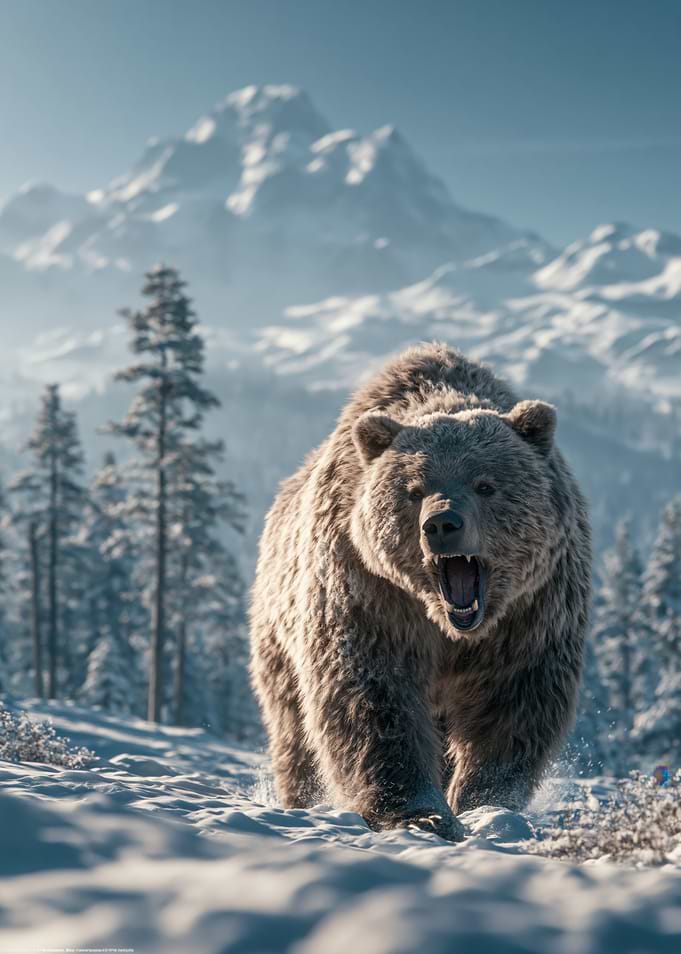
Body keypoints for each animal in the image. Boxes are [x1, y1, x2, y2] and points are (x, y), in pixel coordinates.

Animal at [250, 343, 591, 841]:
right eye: (414, 489)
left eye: (485, 484)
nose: (442, 523)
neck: (452, 627)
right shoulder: (370, 591)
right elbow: (374, 697)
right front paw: (421, 813)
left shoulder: (532, 611)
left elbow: (511, 707)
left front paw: (485, 804)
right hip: (278, 633)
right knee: (293, 727)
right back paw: (303, 796)